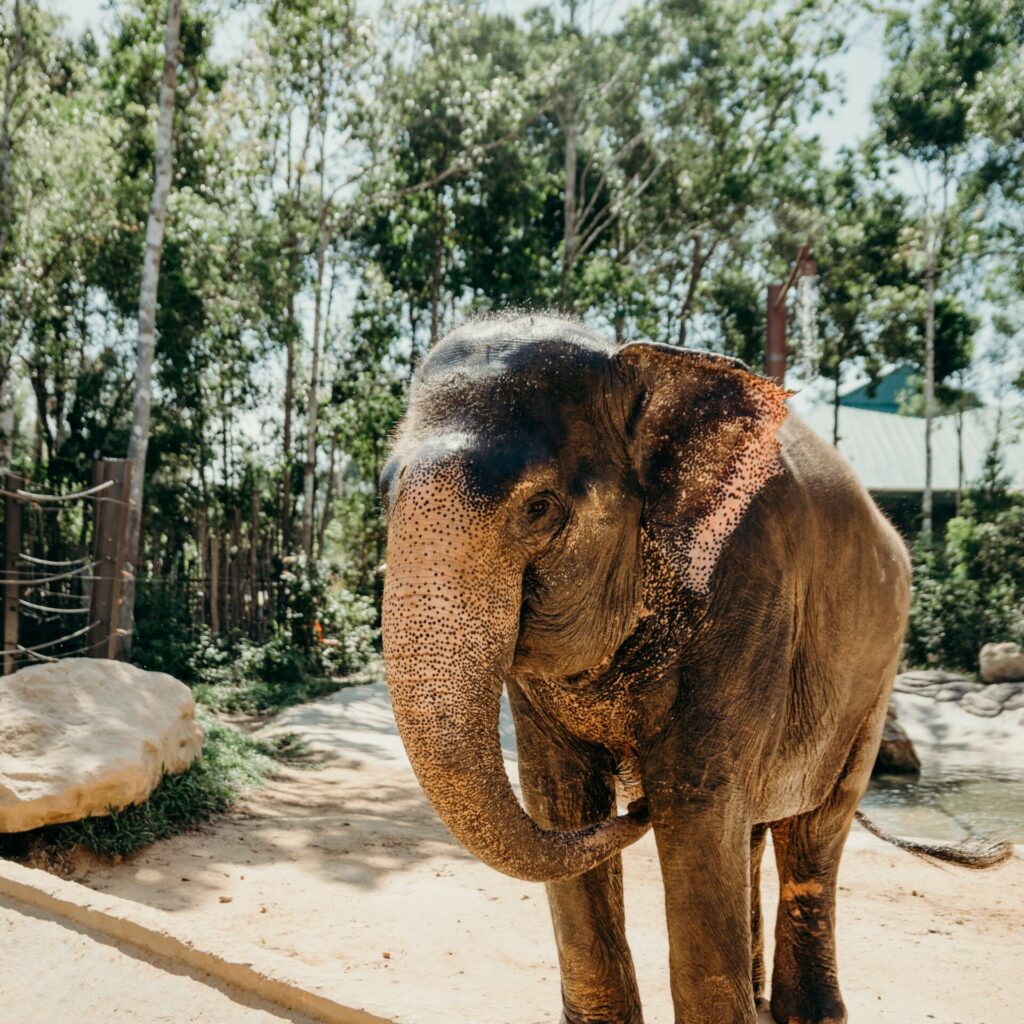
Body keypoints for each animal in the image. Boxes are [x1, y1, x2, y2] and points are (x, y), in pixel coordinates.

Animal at [378, 313, 1007, 1024]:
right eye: (385, 493)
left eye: (538, 507)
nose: (635, 801)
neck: (641, 364)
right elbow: (560, 795)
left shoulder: (750, 590)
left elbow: (695, 797)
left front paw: (663, 799)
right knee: (754, 831)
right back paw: (758, 995)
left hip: (872, 684)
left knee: (813, 835)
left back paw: (808, 1013)